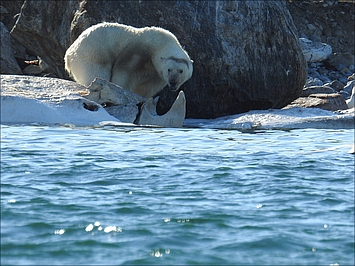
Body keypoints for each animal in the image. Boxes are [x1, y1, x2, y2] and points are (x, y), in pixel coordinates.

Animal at [62, 22, 193, 97]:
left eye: (181, 71)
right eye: (169, 70)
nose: (173, 82)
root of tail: (69, 54)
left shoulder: (155, 75)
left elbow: (145, 87)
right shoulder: (136, 52)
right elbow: (124, 73)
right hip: (92, 55)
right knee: (97, 72)